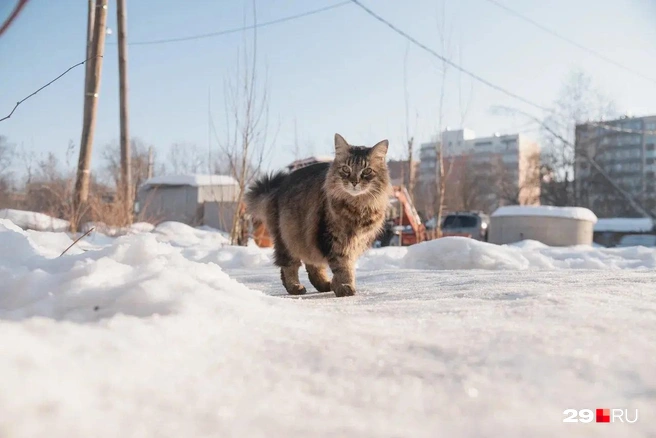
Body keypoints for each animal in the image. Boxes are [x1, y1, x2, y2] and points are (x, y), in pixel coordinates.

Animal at [246, 133, 390, 298]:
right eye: (346, 169)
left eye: (367, 171)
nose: (354, 182)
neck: (357, 207)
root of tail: (277, 188)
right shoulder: (333, 239)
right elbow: (343, 267)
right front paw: (345, 286)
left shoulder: (356, 241)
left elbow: (346, 266)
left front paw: (338, 285)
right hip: (287, 238)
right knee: (288, 266)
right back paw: (295, 287)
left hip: (308, 240)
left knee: (313, 266)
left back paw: (325, 284)